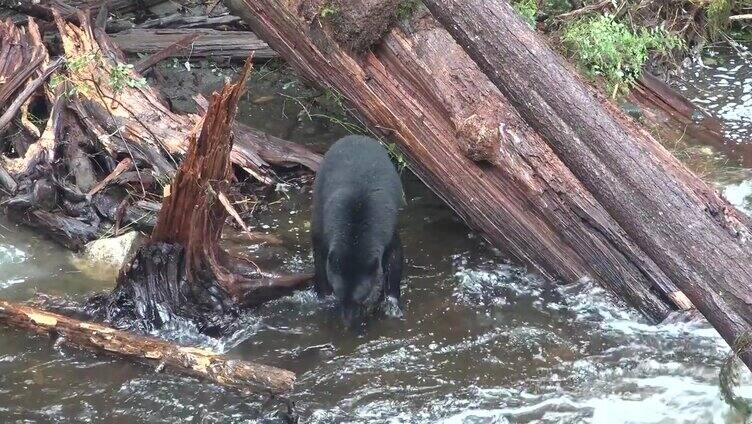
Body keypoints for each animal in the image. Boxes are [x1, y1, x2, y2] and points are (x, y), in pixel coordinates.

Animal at [312, 134, 406, 320]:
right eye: (339, 295)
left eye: (360, 298)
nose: (347, 321)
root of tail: (356, 136)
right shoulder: (324, 229)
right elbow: (320, 257)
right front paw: (325, 298)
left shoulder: (388, 231)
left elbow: (395, 258)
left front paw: (392, 304)